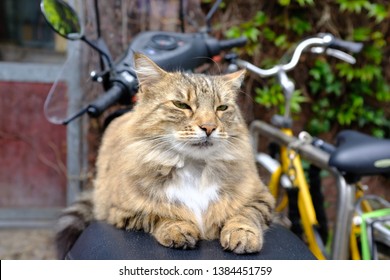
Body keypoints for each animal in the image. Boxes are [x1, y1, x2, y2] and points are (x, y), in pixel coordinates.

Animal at [55, 52, 274, 258]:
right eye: (181, 105)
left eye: (222, 108)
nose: (209, 127)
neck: (194, 167)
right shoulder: (121, 211)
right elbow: (158, 216)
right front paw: (178, 228)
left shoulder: (260, 196)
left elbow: (245, 214)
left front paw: (243, 234)